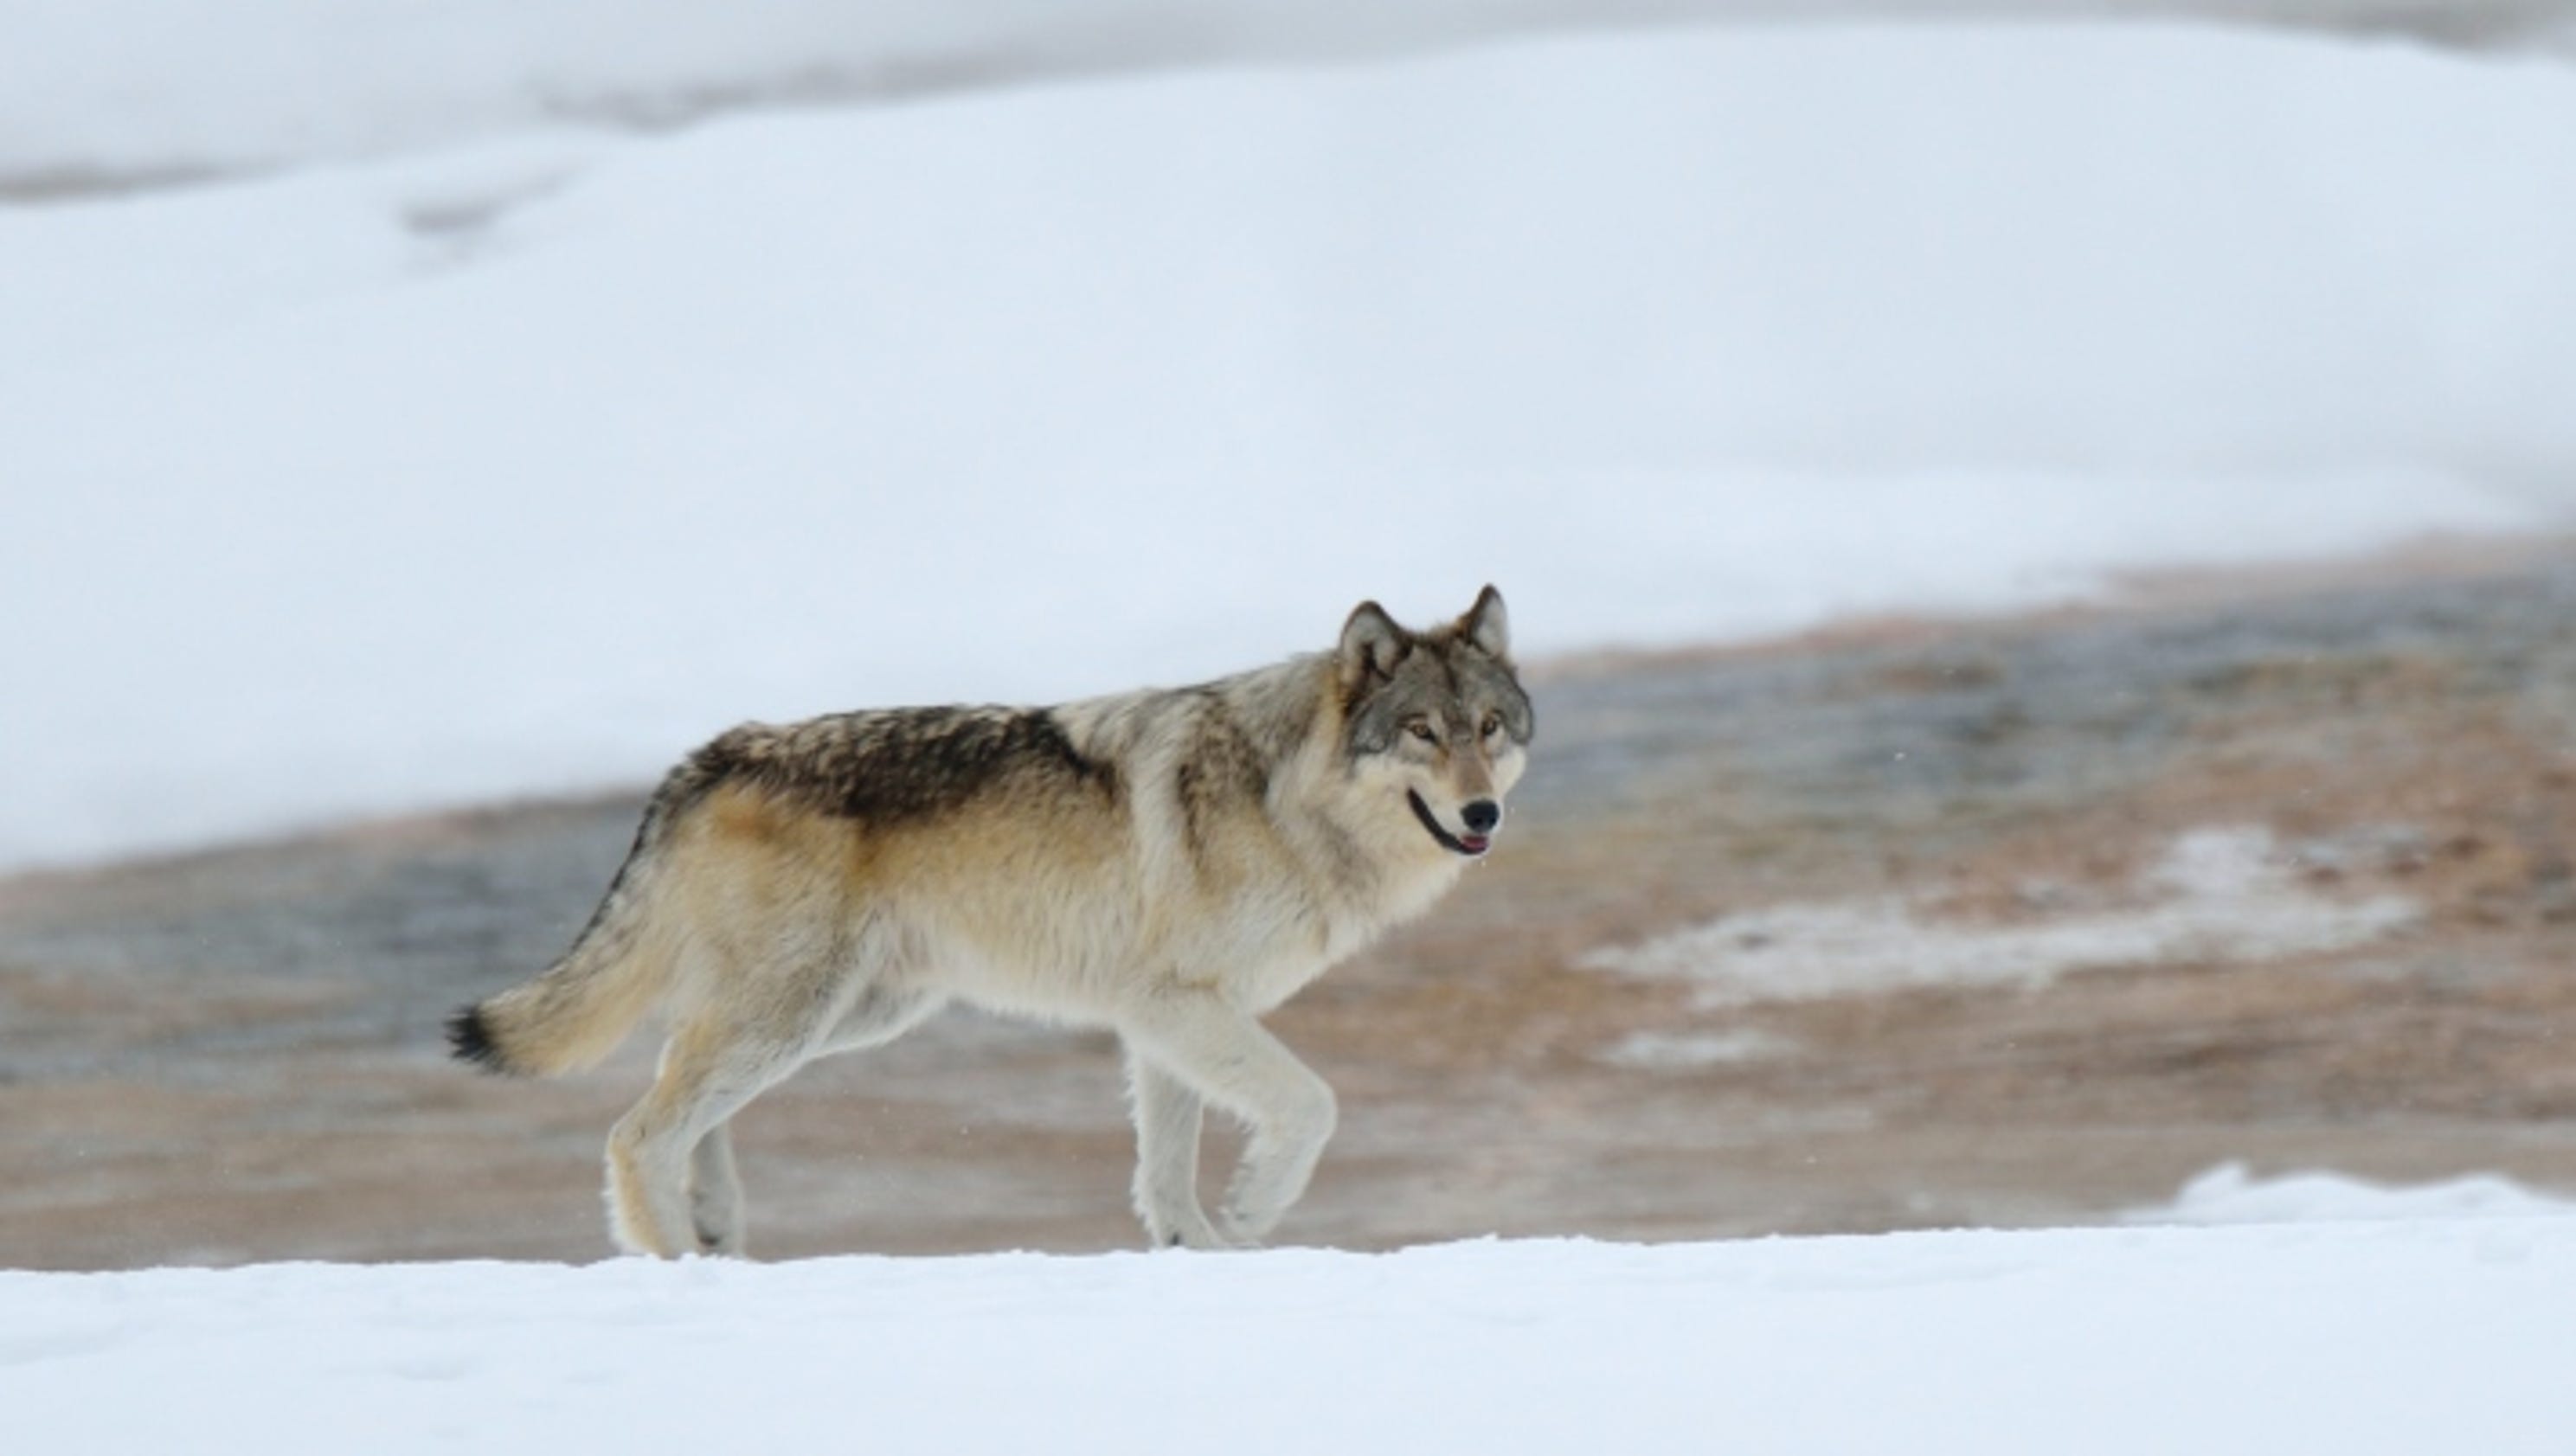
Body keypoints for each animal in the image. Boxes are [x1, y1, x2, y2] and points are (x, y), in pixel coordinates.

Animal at [447, 585, 1525, 1252]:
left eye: (1488, 728)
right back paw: (682, 1270)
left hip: (842, 1018)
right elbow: (1312, 1105)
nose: (1483, 815)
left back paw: (716, 1230)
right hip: (795, 1015)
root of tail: (710, 753)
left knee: (674, 1078)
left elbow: (1166, 1176)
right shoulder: (1176, 1008)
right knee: (638, 1132)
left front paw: (1203, 1252)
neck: (1282, 796)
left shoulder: (1163, 1019)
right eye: (1420, 732)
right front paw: (1255, 1207)